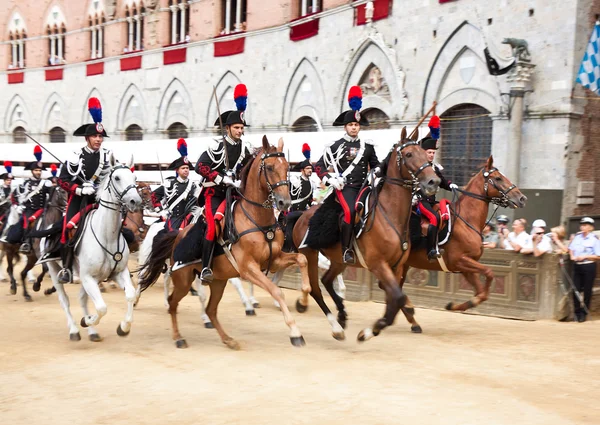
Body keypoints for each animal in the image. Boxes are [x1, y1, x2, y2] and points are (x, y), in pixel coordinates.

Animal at [44, 156, 141, 342]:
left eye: (135, 178)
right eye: (117, 178)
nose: (136, 201)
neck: (107, 236)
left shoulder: (118, 273)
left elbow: (130, 295)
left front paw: (124, 327)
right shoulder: (88, 277)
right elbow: (102, 307)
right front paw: (87, 320)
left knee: (82, 300)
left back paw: (92, 332)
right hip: (54, 271)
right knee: (64, 301)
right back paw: (74, 330)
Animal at [138, 136, 312, 348]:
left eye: (287, 166)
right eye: (270, 167)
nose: (284, 203)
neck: (256, 219)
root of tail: (178, 235)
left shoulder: (274, 259)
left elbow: (302, 260)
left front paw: (303, 301)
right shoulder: (248, 268)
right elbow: (277, 291)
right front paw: (295, 332)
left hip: (218, 281)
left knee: (211, 309)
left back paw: (228, 339)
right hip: (184, 279)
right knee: (173, 302)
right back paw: (178, 337)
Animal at [292, 128, 442, 342]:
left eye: (424, 153)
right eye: (408, 154)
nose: (433, 181)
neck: (390, 214)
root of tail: (302, 215)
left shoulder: (396, 267)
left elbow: (395, 299)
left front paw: (378, 327)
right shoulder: (378, 264)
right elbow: (397, 298)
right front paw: (370, 331)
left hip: (338, 260)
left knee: (327, 281)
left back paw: (342, 315)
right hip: (309, 255)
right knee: (315, 289)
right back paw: (336, 327)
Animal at [396, 156, 528, 332]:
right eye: (498, 178)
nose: (522, 198)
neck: (466, 220)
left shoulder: (467, 266)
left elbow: (482, 293)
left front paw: (455, 305)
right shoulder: (460, 260)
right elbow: (489, 273)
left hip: (403, 265)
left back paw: (414, 322)